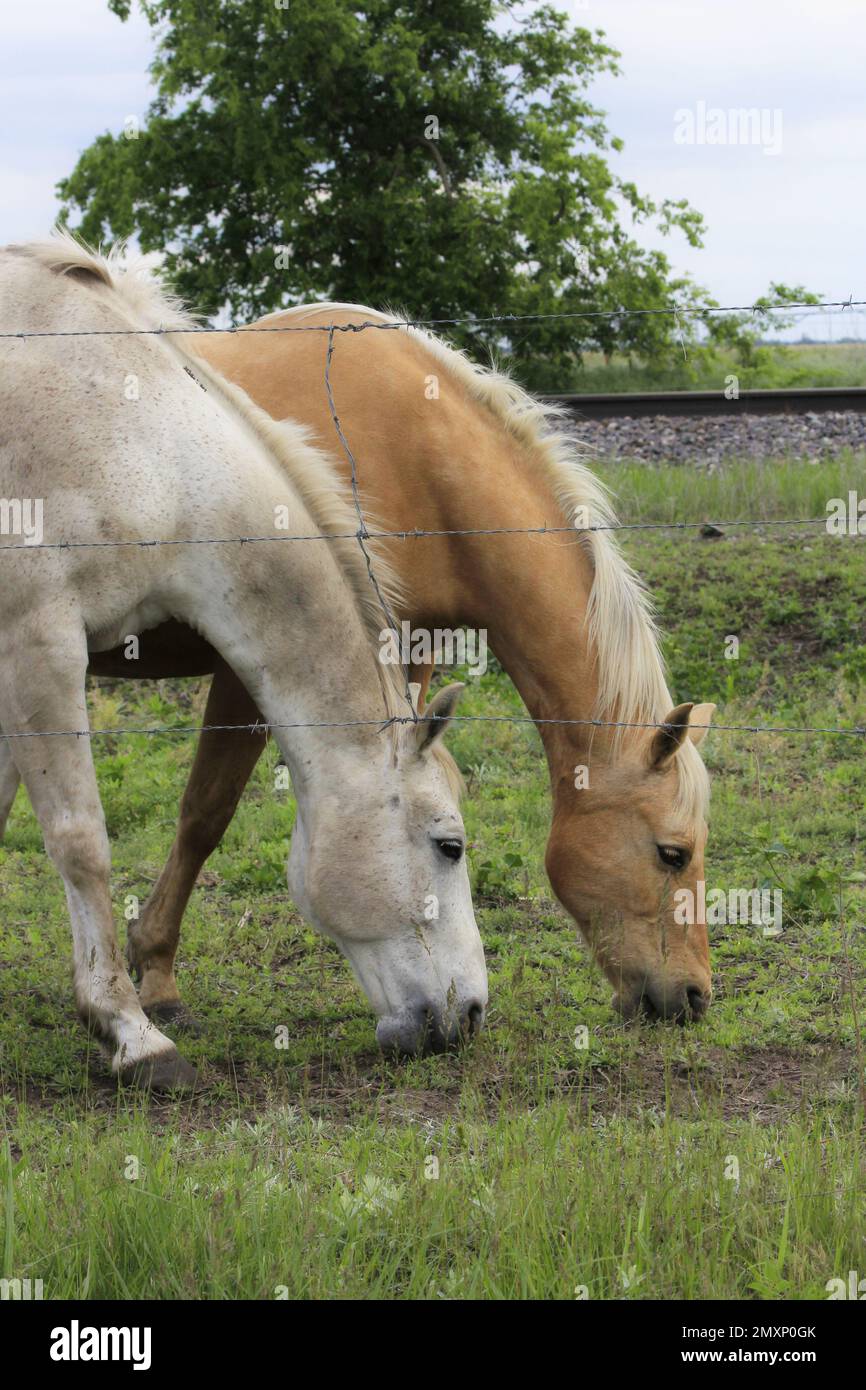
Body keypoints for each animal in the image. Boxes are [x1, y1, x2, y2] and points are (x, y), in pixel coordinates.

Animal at [0, 236, 489, 1084]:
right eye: (448, 845)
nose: (471, 1014)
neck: (133, 442)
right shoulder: (38, 645)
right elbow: (79, 842)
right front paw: (131, 1034)